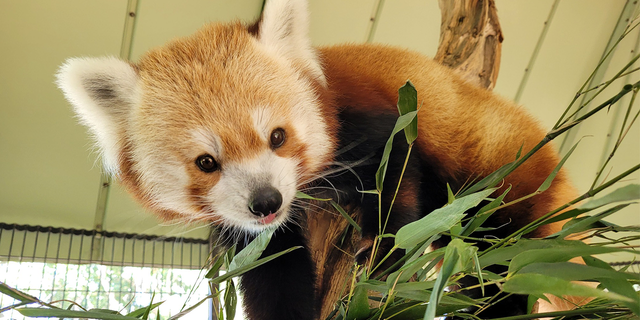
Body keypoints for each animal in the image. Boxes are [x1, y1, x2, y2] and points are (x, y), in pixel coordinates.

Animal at [57, 0, 576, 318]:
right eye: (206, 162)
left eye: (277, 137)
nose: (265, 201)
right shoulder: (254, 233)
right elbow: (274, 272)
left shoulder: (377, 121)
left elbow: (396, 177)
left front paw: (384, 247)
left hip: (505, 176)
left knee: (504, 259)